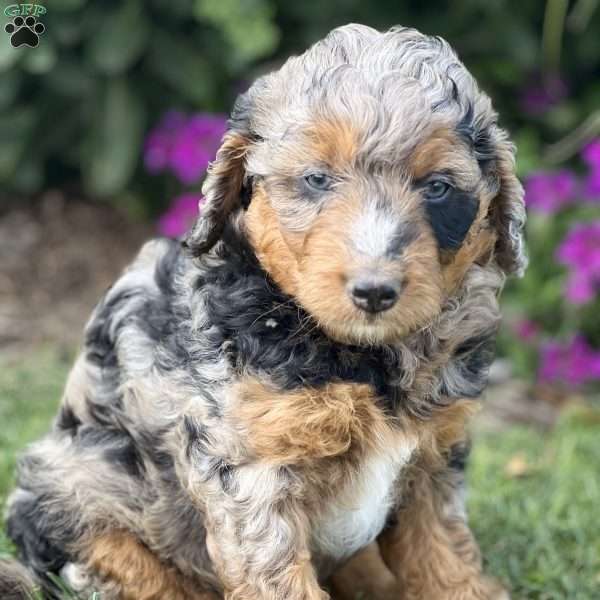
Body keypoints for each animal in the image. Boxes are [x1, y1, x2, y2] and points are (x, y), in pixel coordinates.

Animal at [1, 23, 524, 600]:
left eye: (438, 187)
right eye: (316, 179)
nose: (374, 291)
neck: (363, 359)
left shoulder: (434, 461)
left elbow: (445, 558)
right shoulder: (252, 468)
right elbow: (278, 576)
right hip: (76, 495)